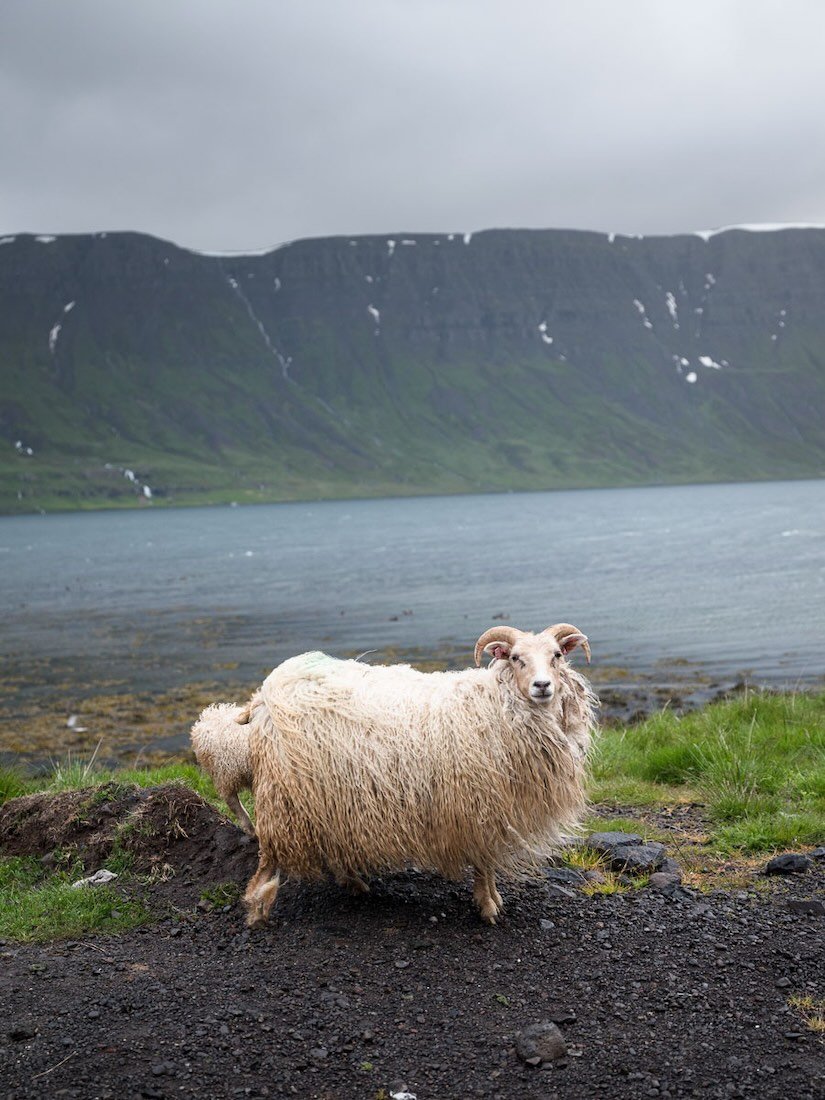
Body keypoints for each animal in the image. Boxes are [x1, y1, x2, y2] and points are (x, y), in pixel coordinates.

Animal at [241, 624, 597, 927]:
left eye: (557, 655)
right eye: (515, 657)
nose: (542, 686)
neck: (495, 704)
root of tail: (265, 694)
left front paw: (492, 899)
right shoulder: (477, 806)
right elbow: (484, 862)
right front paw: (487, 906)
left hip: (328, 796)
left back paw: (353, 882)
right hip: (283, 795)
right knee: (267, 858)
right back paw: (257, 911)